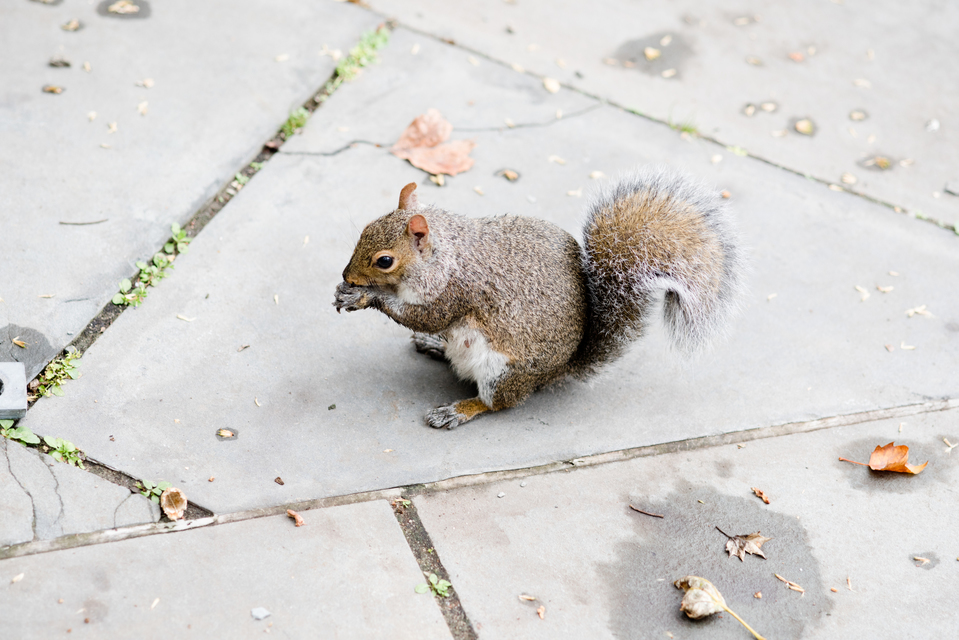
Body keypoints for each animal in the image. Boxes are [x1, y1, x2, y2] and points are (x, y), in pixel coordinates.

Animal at [334, 168, 745, 429]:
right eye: (365, 229)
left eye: (384, 261)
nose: (346, 276)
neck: (444, 251)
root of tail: (555, 372)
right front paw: (348, 293)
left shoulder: (456, 290)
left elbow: (429, 316)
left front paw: (366, 297)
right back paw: (436, 346)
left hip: (502, 371)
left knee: (498, 403)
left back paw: (459, 410)